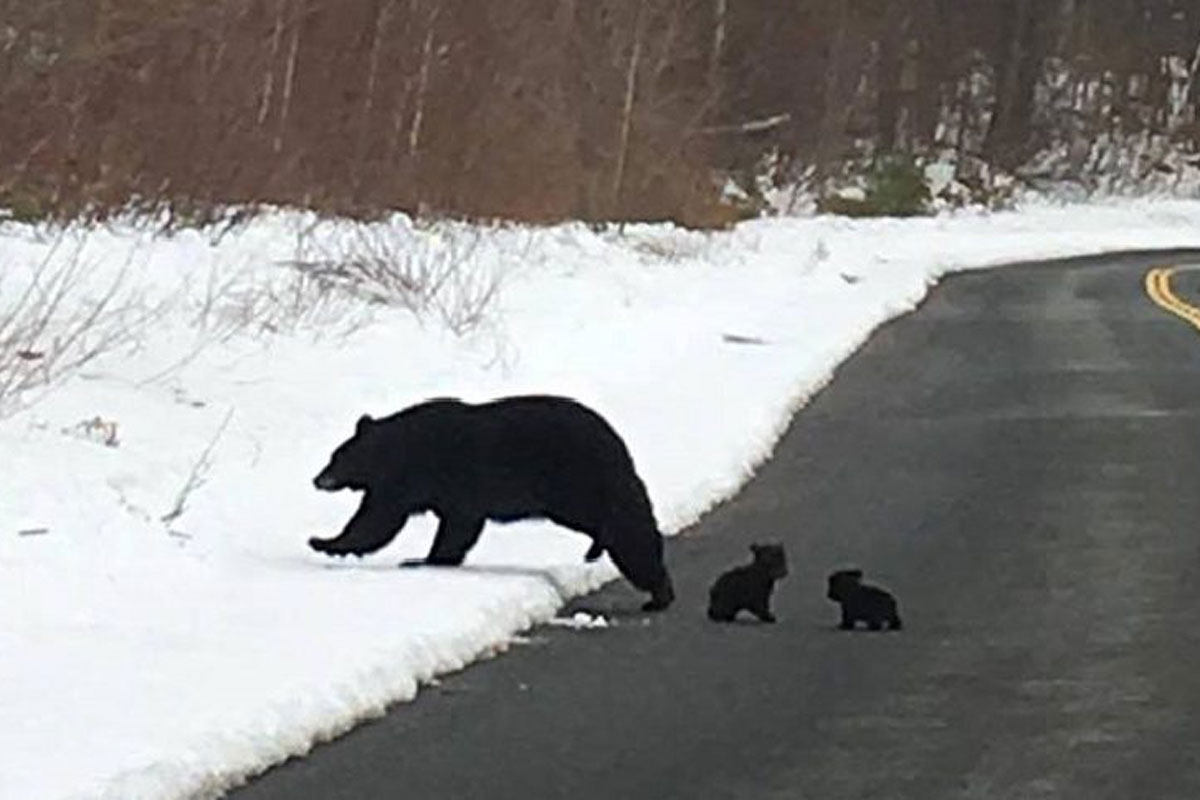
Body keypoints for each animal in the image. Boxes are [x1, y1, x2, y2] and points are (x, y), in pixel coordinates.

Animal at [308, 395, 675, 611]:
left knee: (625, 526)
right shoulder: (447, 492)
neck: (397, 448)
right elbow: (455, 525)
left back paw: (657, 591)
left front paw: (325, 542)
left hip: (577, 483)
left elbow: (379, 518)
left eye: (336, 457)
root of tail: (617, 444)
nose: (317, 478)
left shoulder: (420, 478)